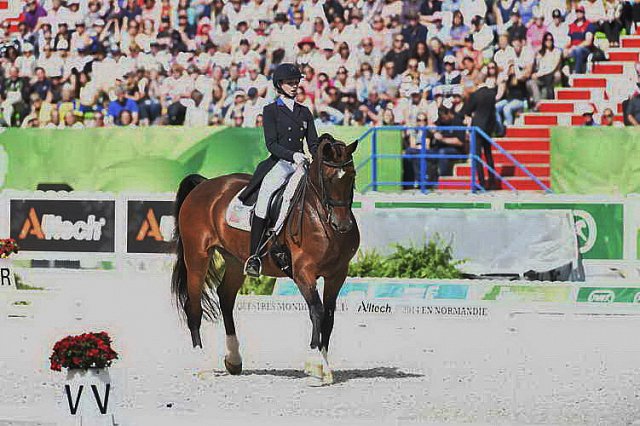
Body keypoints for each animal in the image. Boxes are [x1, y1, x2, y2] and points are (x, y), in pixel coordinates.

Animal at [170, 135, 360, 384]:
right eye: (328, 179)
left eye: (352, 176)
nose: (343, 225)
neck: (318, 215)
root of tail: (204, 184)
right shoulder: (303, 272)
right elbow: (316, 312)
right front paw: (314, 365)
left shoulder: (337, 274)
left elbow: (328, 317)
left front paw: (325, 368)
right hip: (197, 258)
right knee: (194, 307)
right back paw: (203, 367)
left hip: (234, 260)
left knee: (225, 298)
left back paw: (234, 360)